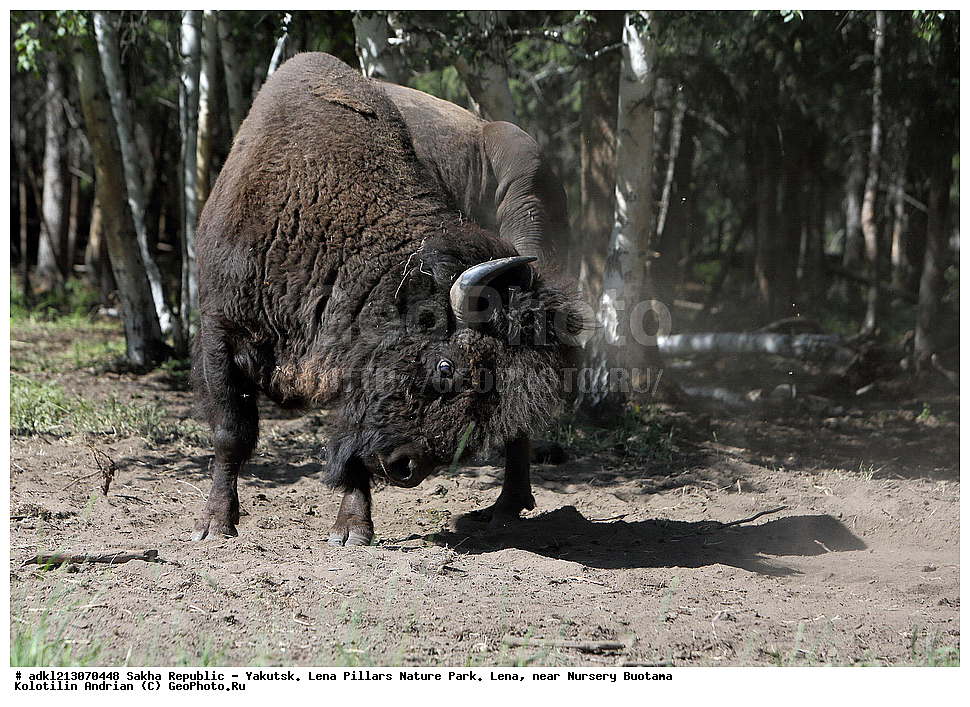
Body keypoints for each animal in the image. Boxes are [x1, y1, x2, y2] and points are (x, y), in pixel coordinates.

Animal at [191, 53, 583, 546]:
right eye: (445, 368)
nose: (406, 467)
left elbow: (350, 445)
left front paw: (351, 530)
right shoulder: (219, 331)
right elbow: (231, 433)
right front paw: (214, 524)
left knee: (519, 428)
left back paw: (505, 511)